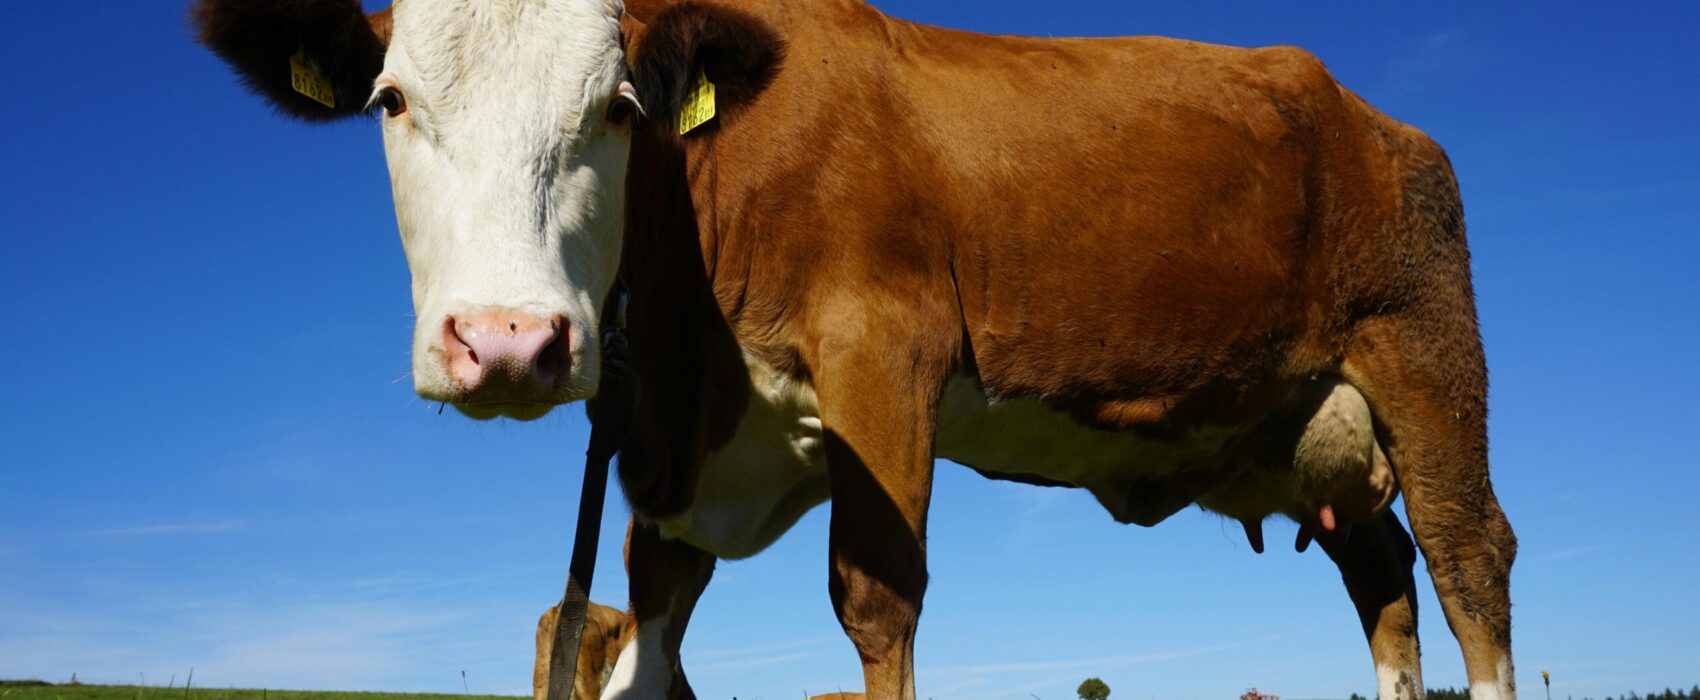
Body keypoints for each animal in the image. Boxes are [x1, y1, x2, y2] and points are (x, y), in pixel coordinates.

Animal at [191, 1, 1519, 699]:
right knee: (1382, 579)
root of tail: (1369, 113)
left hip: (1423, 353)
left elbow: (875, 603)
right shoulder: (676, 463)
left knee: (1467, 565)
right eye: (391, 100)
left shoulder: (884, 353)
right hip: (1302, 427)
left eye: (618, 107)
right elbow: (645, 641)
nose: (510, 343)